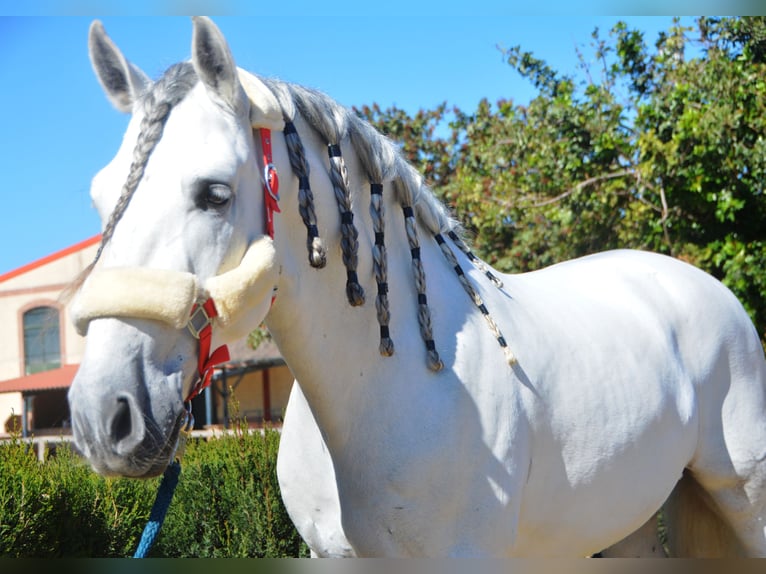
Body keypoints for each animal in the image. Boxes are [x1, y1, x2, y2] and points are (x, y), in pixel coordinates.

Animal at [67, 16, 766, 560]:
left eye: (213, 193)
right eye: (99, 197)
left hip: (744, 502)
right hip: (625, 521)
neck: (395, 384)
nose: (104, 416)